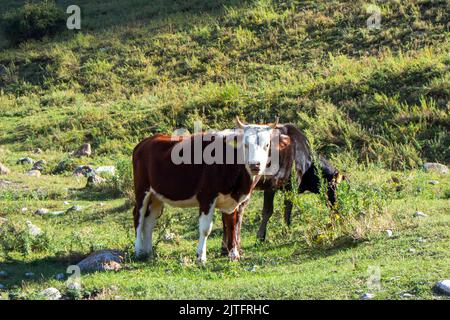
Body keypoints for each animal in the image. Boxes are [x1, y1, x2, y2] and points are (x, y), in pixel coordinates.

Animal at [132, 117, 290, 262]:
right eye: (245, 144)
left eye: (267, 145)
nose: (255, 165)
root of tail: (145, 142)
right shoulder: (206, 196)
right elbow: (206, 228)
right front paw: (201, 257)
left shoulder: (232, 200)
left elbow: (232, 225)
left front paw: (234, 255)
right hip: (142, 190)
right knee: (138, 217)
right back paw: (138, 251)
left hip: (156, 196)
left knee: (149, 221)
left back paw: (148, 253)